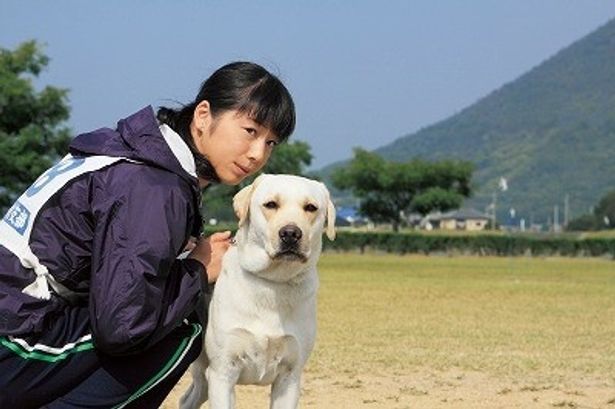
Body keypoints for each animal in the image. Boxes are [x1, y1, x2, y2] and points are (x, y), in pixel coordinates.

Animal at [180, 174, 336, 406]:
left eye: (311, 207)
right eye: (271, 204)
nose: (291, 233)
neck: (272, 282)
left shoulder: (290, 377)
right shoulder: (222, 372)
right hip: (204, 369)